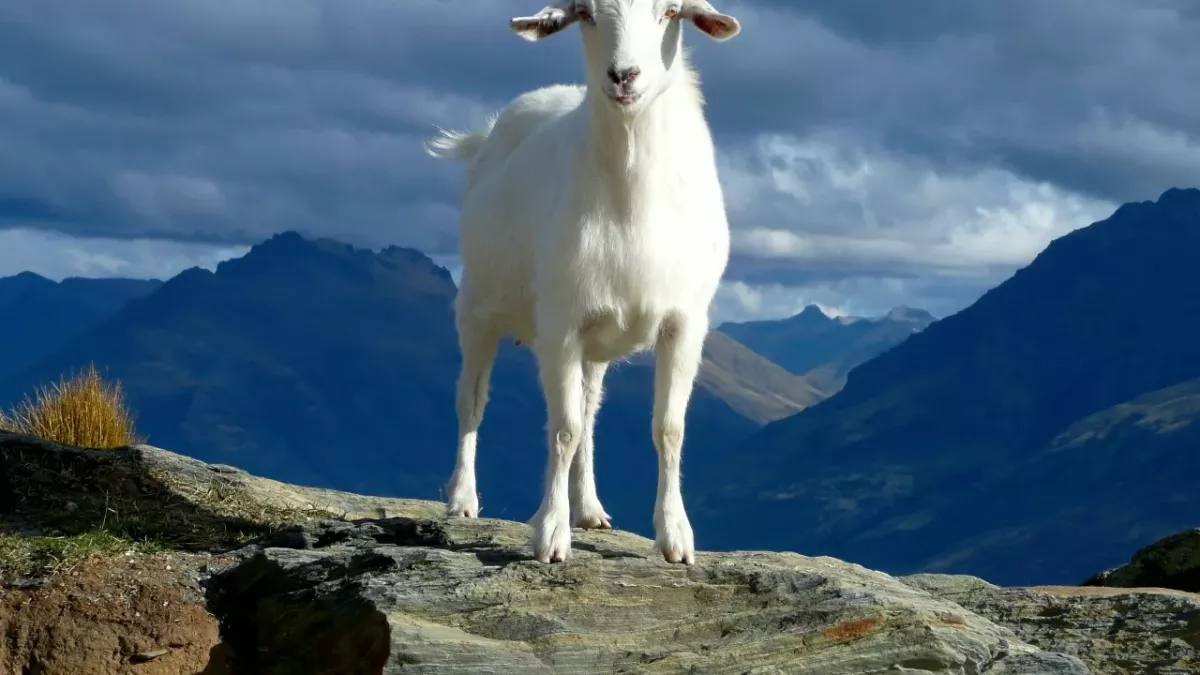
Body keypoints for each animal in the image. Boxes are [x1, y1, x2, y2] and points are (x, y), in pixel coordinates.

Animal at [425, 0, 740, 565]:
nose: (623, 76)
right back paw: (462, 498)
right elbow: (563, 430)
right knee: (472, 399)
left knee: (591, 411)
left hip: (596, 341)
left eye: (669, 12)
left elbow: (668, 428)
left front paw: (676, 537)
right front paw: (551, 534)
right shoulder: (560, 325)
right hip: (477, 307)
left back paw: (589, 507)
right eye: (587, 14)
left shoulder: (684, 324)